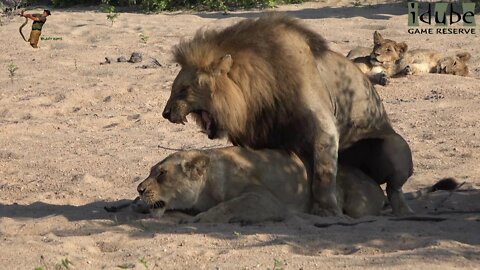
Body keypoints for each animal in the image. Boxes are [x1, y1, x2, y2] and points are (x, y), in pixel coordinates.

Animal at [135, 147, 386, 223]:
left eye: (162, 174)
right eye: (150, 171)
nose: (139, 189)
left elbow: (229, 205)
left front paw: (201, 218)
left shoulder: (266, 200)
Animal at [160, 15, 412, 216]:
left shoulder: (325, 129)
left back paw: (403, 210)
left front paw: (326, 211)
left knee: (394, 188)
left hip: (396, 146)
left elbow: (323, 176)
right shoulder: (263, 135)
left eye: (183, 89)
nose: (165, 113)